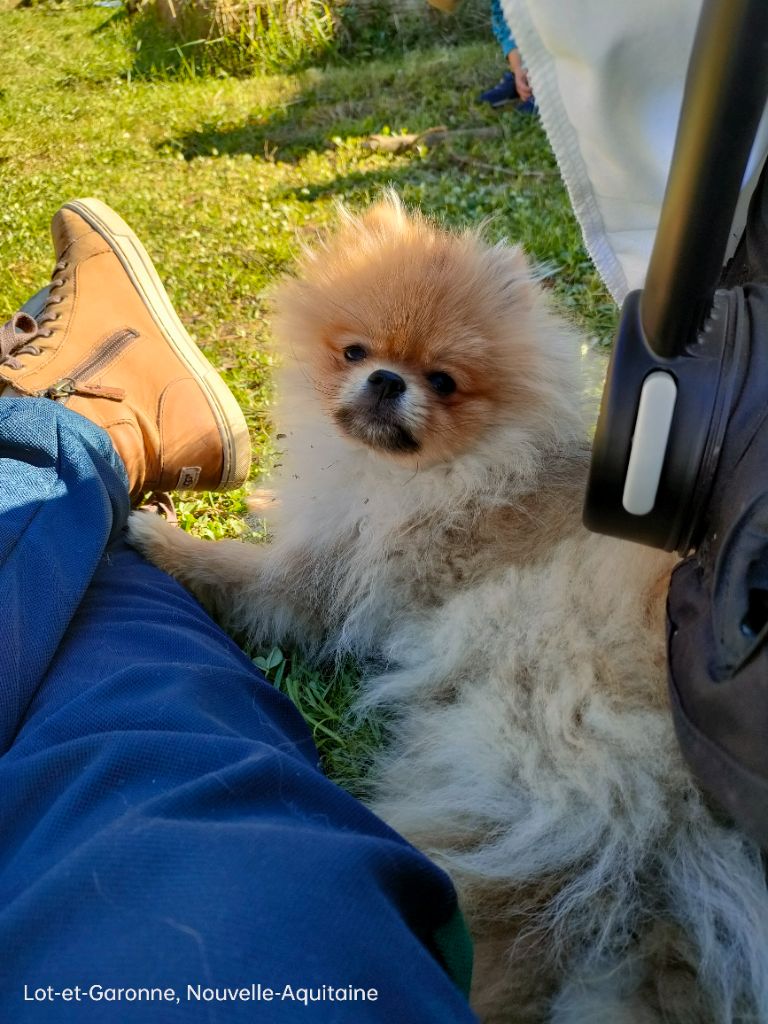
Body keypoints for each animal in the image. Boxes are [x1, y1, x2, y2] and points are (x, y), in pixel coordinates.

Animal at [127, 196, 768, 1023]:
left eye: (443, 380)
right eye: (354, 351)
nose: (386, 380)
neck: (445, 472)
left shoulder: (328, 579)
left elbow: (246, 575)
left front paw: (158, 537)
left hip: (547, 753)